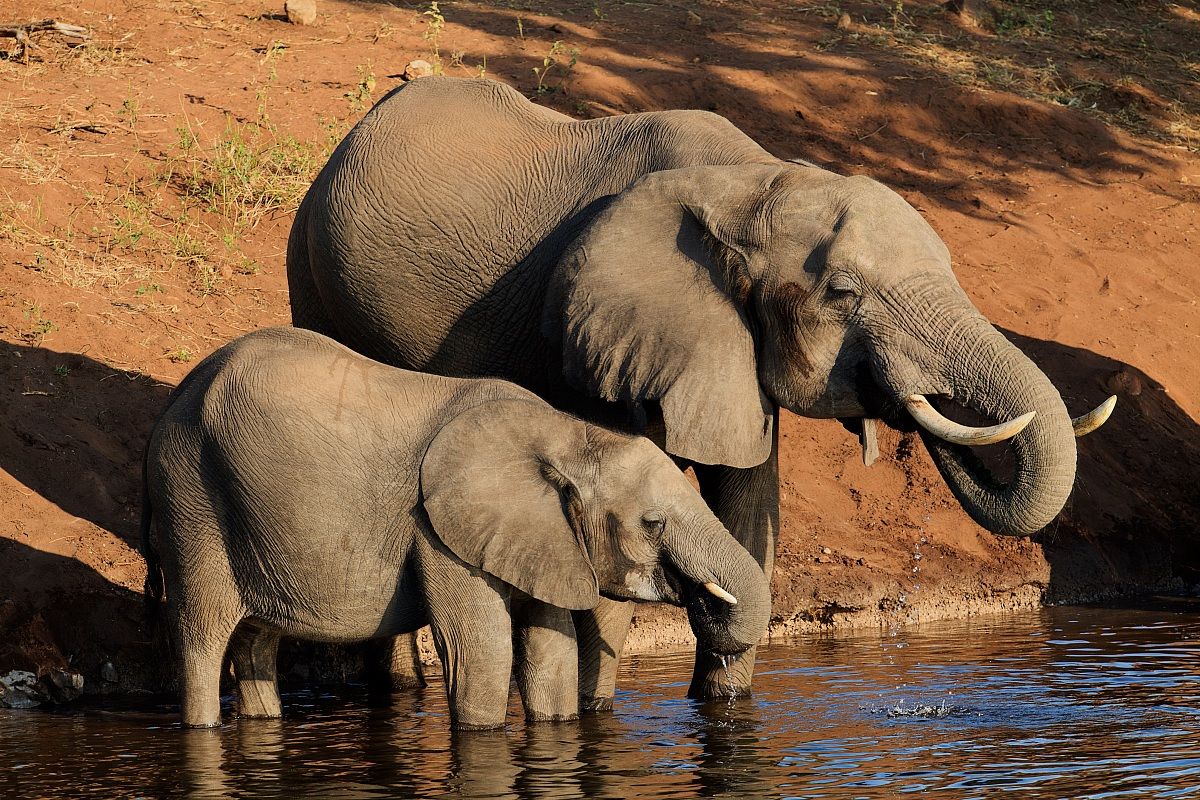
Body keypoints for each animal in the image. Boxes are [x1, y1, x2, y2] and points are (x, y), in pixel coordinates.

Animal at [140, 327, 770, 729]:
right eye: (653, 523)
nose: (703, 601)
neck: (565, 433)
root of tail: (176, 396)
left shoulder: (544, 536)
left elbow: (552, 649)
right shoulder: (439, 532)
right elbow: (483, 648)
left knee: (256, 640)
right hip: (191, 497)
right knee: (202, 635)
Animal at [286, 76, 1114, 705]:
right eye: (844, 293)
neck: (756, 182)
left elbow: (747, 503)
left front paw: (722, 702)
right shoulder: (593, 338)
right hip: (315, 276)